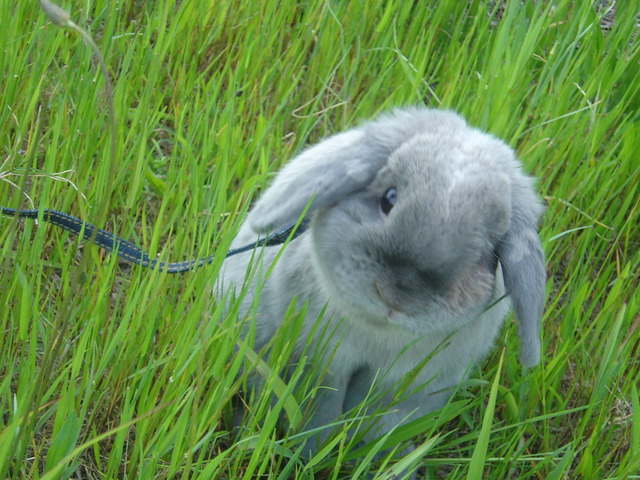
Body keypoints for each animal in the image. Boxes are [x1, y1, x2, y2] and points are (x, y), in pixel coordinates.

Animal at [219, 106, 545, 474]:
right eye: (389, 199)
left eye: (487, 251)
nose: (396, 297)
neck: (377, 329)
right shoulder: (322, 364)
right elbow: (317, 415)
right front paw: (309, 457)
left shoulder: (402, 387)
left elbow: (379, 428)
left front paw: (391, 467)